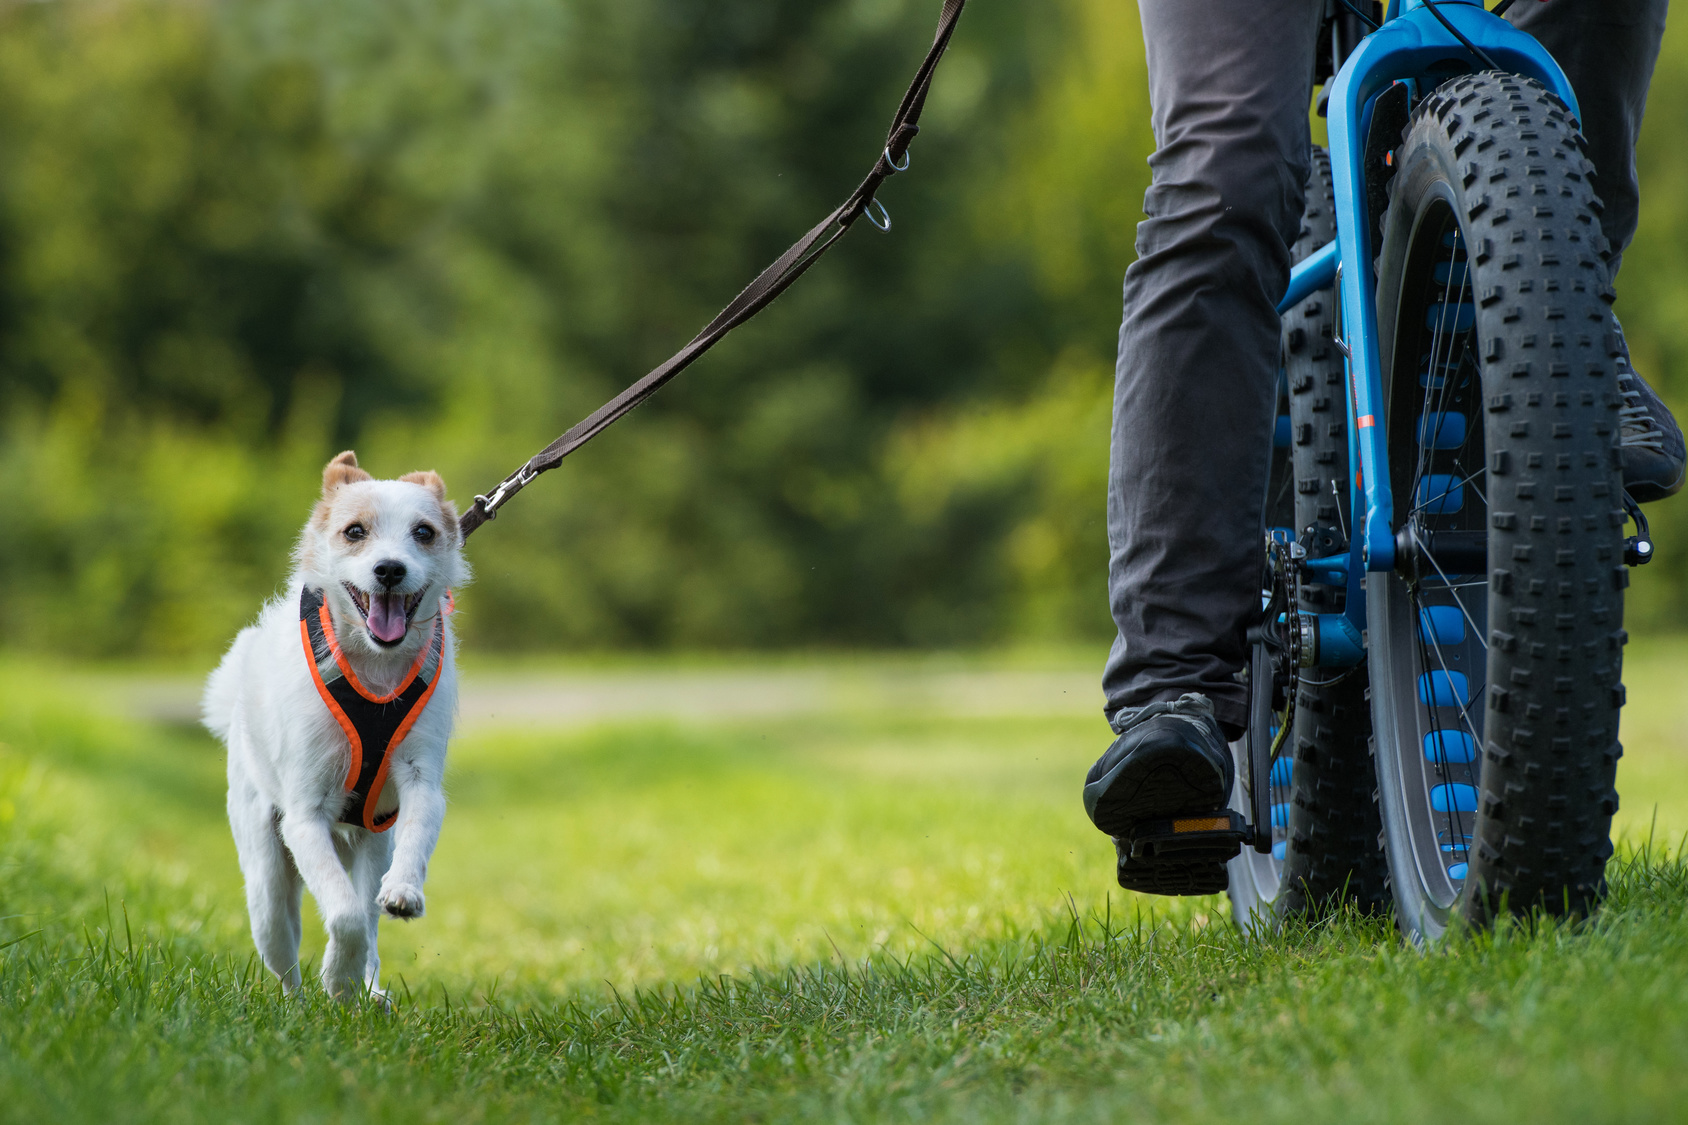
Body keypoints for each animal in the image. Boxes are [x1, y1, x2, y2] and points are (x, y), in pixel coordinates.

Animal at [203, 449, 469, 1000]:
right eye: (354, 531)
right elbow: (343, 915)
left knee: (369, 922)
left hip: (372, 843)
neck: (373, 668)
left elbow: (413, 842)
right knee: (287, 954)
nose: (389, 569)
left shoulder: (420, 779)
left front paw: (404, 891)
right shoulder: (305, 818)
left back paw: (369, 993)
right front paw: (337, 980)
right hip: (266, 880)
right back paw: (301, 1005)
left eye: (424, 532)